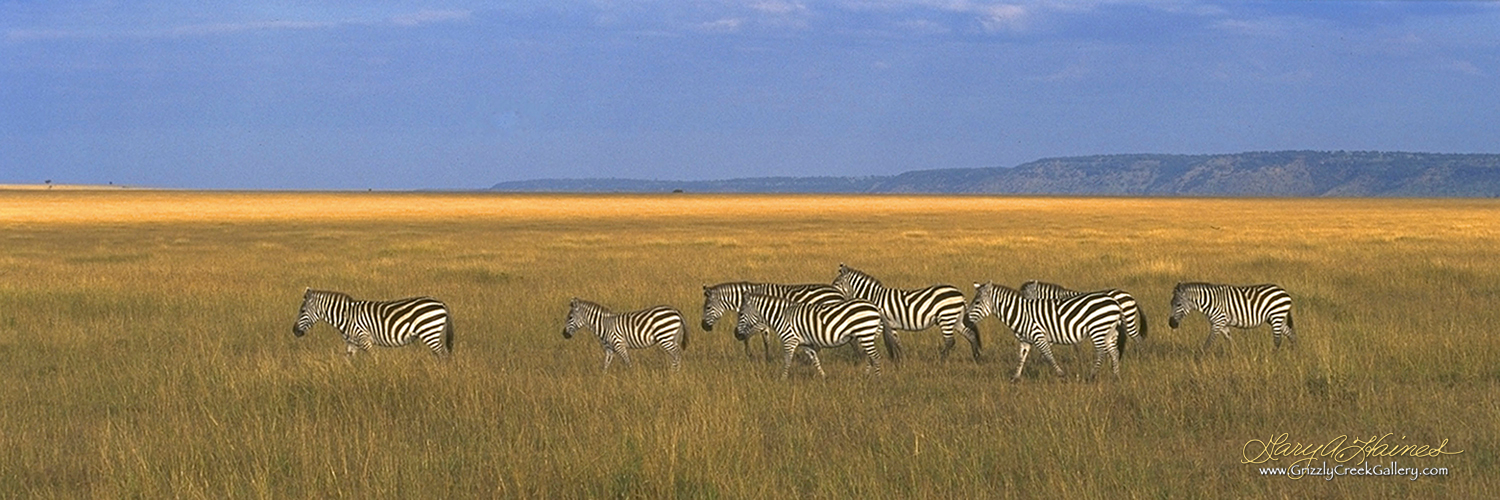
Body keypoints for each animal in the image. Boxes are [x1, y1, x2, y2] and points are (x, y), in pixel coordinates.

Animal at [292, 288, 454, 359]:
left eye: (302, 310)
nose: (295, 332)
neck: (346, 317)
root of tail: (441, 303)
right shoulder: (351, 343)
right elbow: (348, 361)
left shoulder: (364, 339)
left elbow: (374, 359)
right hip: (431, 332)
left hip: (429, 331)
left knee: (443, 354)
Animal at [701, 281, 845, 362]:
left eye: (707, 307)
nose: (703, 327)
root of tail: (839, 292)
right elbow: (765, 340)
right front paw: (767, 358)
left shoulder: (760, 322)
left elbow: (750, 336)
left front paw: (751, 354)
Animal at [734, 293, 885, 379]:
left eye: (740, 313)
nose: (736, 335)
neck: (782, 316)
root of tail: (875, 307)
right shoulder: (806, 344)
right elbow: (815, 360)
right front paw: (823, 377)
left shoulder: (790, 340)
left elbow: (787, 360)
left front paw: (782, 379)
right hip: (866, 336)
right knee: (871, 357)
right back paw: (866, 376)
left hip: (865, 333)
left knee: (876, 357)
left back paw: (877, 380)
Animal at [831, 263, 979, 362]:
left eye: (837, 283)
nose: (832, 293)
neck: (875, 297)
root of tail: (959, 293)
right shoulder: (891, 325)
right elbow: (897, 342)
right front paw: (901, 360)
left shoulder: (880, 324)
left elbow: (876, 341)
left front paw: (864, 357)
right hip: (955, 318)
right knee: (970, 335)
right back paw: (977, 358)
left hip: (946, 317)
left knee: (950, 341)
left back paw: (941, 360)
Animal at [966, 282, 1123, 382]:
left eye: (977, 303)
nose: (965, 321)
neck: (1021, 313)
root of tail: (1114, 302)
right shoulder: (1025, 340)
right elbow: (1021, 358)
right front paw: (1015, 378)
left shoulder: (1038, 336)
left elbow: (1048, 356)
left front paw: (1062, 375)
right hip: (1108, 331)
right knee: (1114, 352)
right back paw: (1115, 377)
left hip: (1098, 329)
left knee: (1101, 353)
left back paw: (1091, 376)